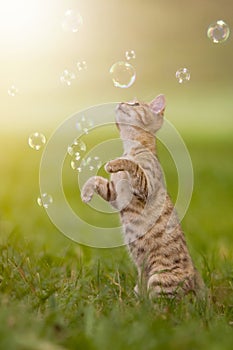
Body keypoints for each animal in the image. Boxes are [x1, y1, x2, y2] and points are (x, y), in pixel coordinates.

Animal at [81, 95, 204, 298]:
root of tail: (195, 282)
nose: (121, 102)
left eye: (135, 104)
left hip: (159, 279)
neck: (130, 148)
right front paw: (86, 191)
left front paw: (116, 163)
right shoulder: (115, 194)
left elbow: (132, 165)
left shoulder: (146, 187)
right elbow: (96, 180)